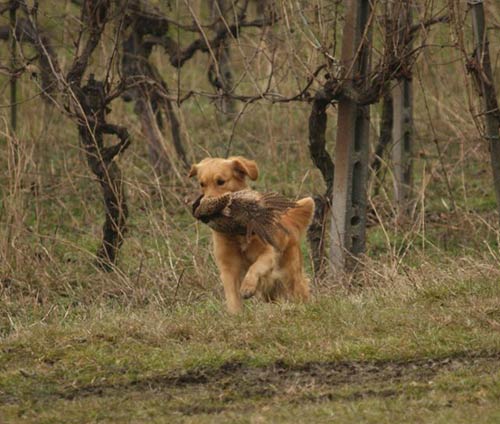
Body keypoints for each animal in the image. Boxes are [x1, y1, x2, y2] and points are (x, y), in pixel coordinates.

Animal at [189, 157, 314, 314]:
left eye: (221, 181)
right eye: (202, 184)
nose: (206, 205)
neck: (236, 234)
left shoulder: (269, 254)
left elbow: (255, 267)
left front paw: (247, 287)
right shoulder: (228, 267)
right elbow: (232, 295)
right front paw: (235, 314)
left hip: (291, 273)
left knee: (300, 287)